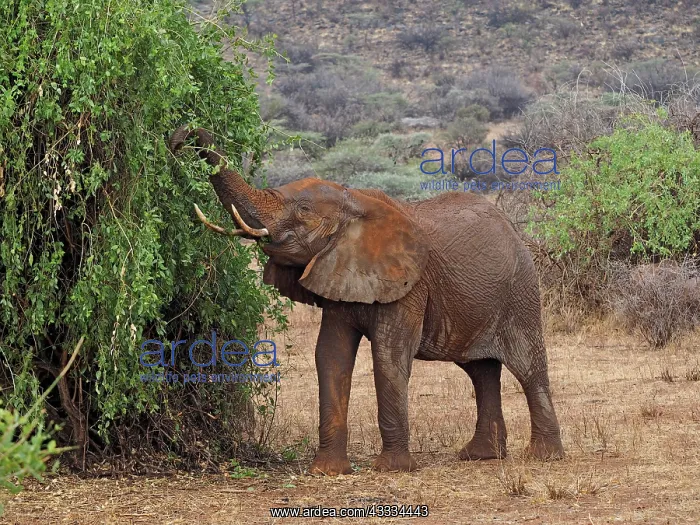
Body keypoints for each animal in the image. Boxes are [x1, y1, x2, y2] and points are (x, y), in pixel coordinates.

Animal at [169, 126, 565, 475]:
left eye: (303, 210)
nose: (180, 137)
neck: (355, 202)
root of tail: (511, 228)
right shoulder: (339, 274)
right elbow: (330, 355)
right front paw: (326, 472)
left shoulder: (409, 286)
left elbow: (388, 356)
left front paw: (392, 469)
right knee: (481, 371)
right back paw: (480, 456)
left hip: (520, 292)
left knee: (527, 367)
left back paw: (543, 457)